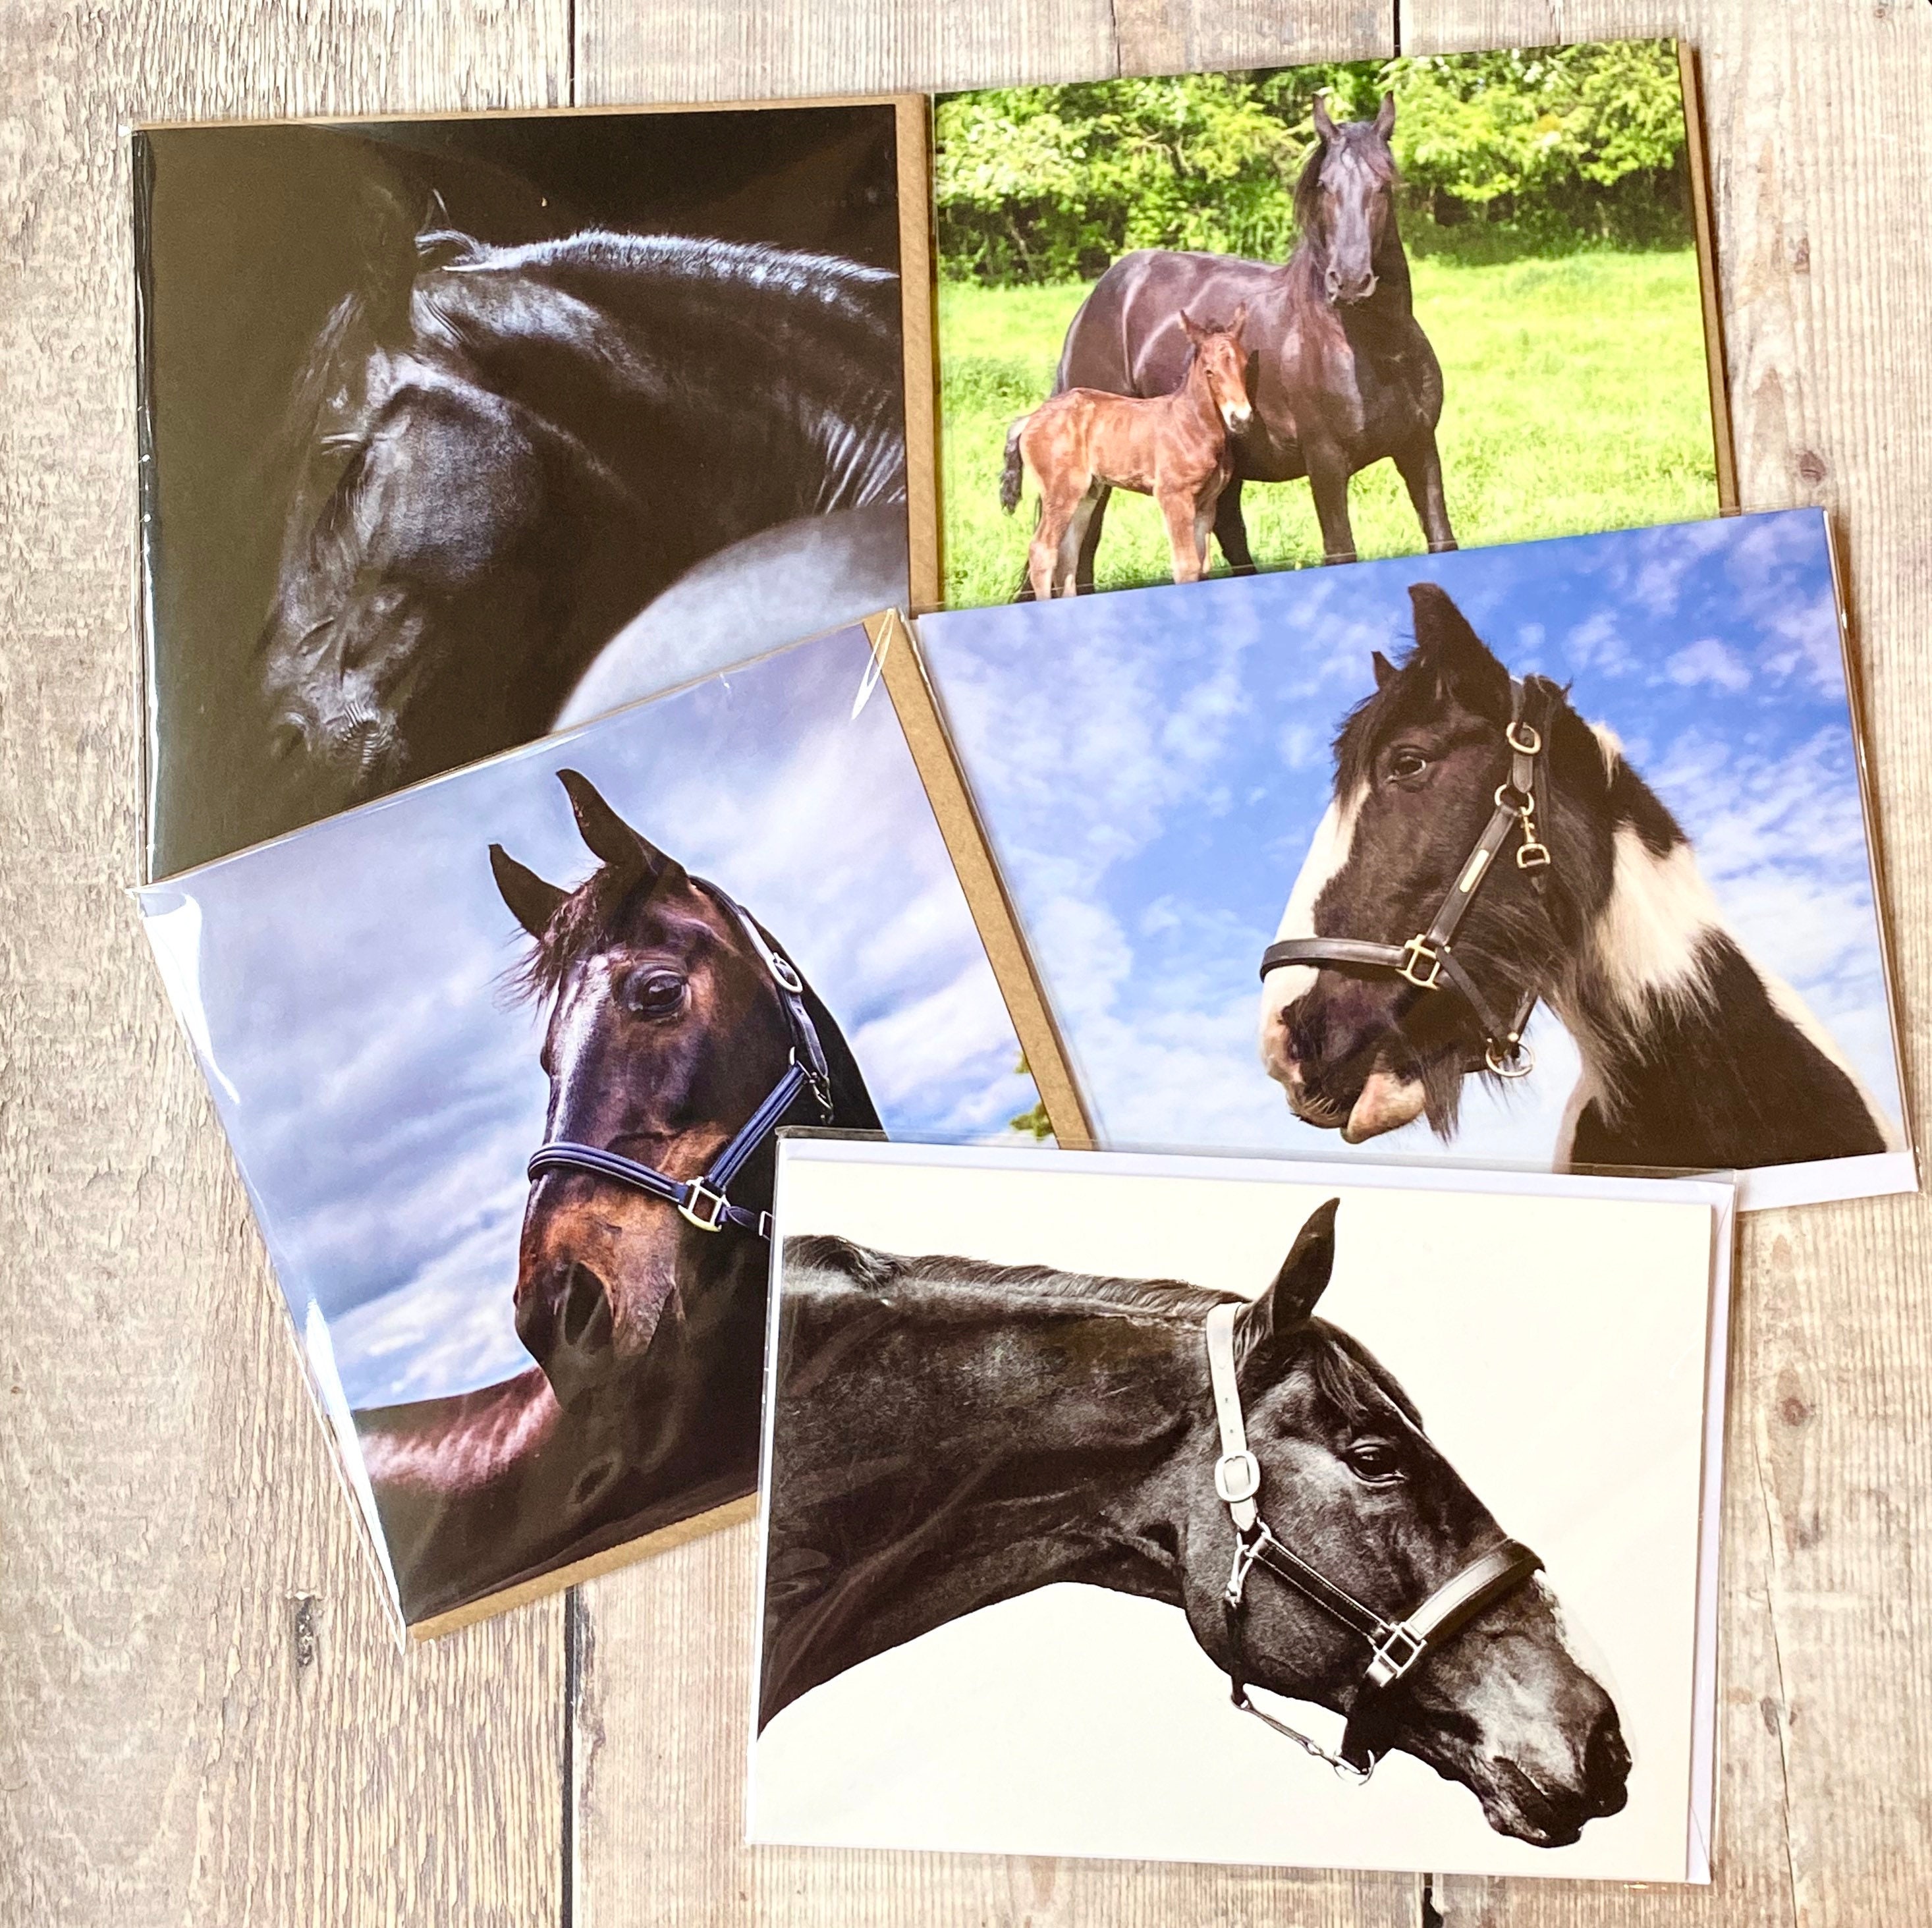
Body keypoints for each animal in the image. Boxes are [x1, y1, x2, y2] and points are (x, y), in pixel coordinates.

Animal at [999, 308, 1252, 598]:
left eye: (1245, 365)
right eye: (1210, 371)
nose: (1241, 418)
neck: (1191, 423)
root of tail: (1030, 419)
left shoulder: (1206, 503)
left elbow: (1202, 566)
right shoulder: (1173, 496)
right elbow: (1186, 567)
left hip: (1087, 494)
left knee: (1068, 556)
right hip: (1061, 491)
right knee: (1042, 552)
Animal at [1026, 92, 1453, 596]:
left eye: (1383, 185)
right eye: (1324, 186)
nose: (1349, 280)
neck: (1374, 350)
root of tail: (1099, 297)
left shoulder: (1419, 448)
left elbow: (1441, 538)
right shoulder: (1327, 464)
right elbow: (1340, 550)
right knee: (1083, 549)